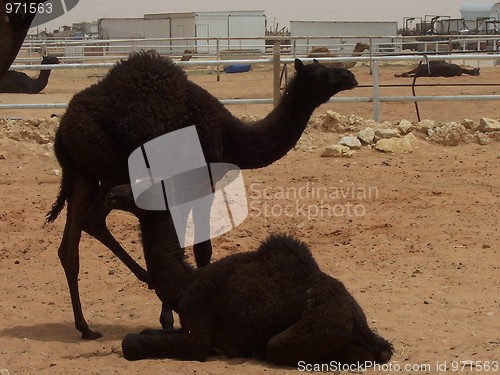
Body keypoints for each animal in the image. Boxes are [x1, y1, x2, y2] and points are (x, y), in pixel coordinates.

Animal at [47, 51, 358, 342]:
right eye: (319, 73)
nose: (349, 76)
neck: (230, 136)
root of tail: (62, 129)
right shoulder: (195, 184)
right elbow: (196, 247)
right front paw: (171, 316)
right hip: (113, 166)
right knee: (93, 221)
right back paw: (139, 288)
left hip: (85, 174)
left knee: (74, 240)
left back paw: (86, 327)